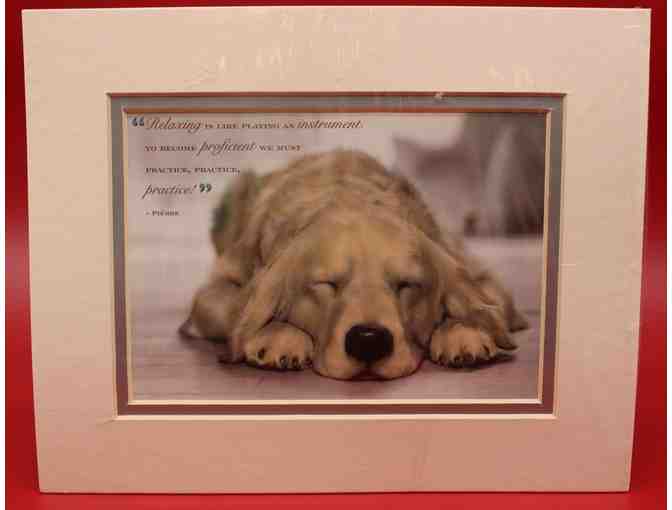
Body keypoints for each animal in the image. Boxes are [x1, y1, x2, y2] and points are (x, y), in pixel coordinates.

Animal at [180, 149, 529, 380]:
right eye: (326, 284)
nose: (368, 341)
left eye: (407, 284)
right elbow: (231, 312)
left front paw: (463, 329)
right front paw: (279, 334)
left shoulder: (483, 277)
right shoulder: (214, 291)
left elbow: (488, 303)